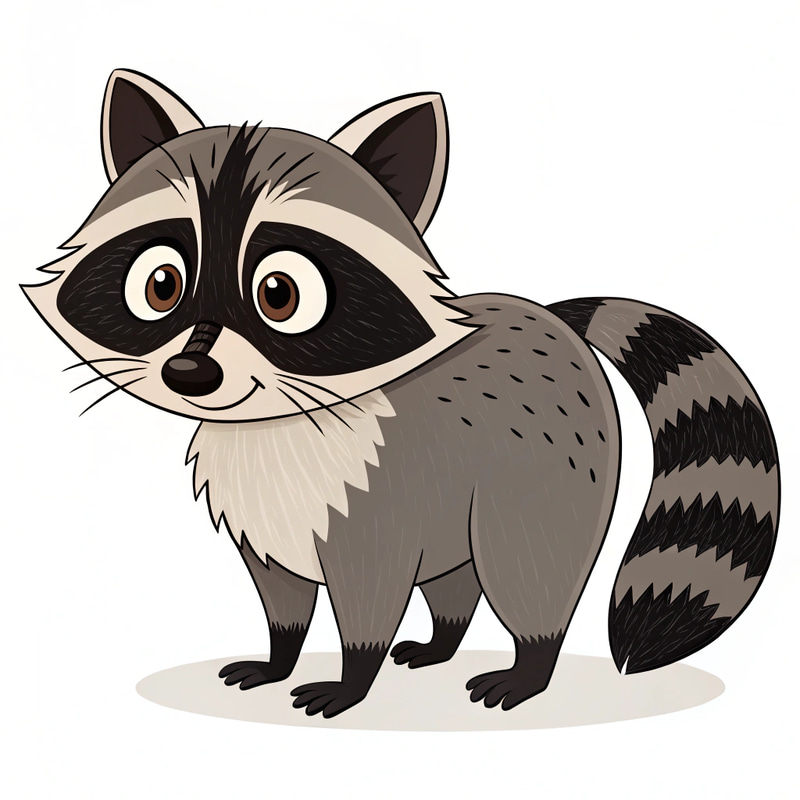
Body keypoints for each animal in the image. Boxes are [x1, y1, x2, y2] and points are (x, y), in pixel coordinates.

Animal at [25, 70, 780, 718]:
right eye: (162, 284)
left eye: (280, 293)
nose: (190, 374)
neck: (274, 420)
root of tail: (552, 317)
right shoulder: (270, 516)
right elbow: (282, 595)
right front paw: (279, 656)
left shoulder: (379, 498)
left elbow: (371, 595)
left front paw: (352, 677)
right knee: (457, 579)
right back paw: (445, 639)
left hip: (541, 474)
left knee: (525, 569)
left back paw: (531, 665)